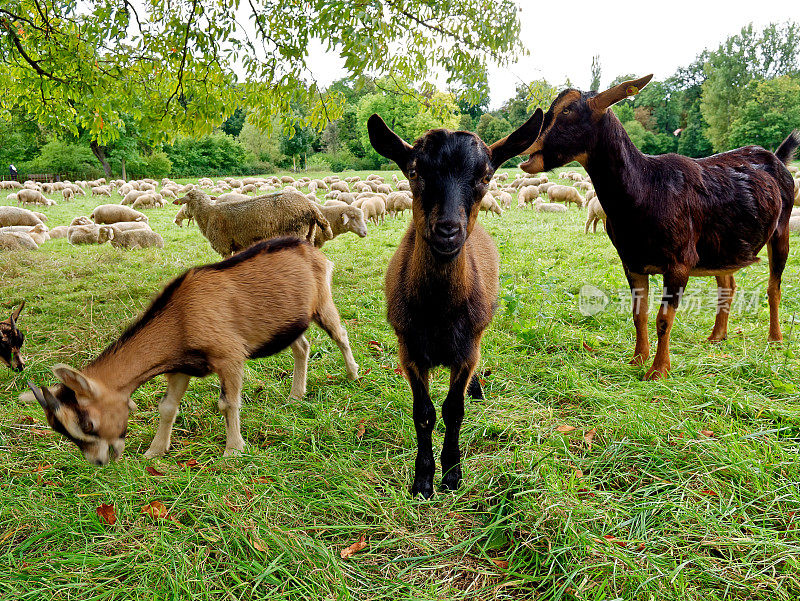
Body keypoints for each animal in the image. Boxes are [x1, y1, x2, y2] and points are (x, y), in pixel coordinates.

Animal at [26, 237, 360, 462]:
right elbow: (167, 407)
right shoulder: (181, 366)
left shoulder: (229, 355)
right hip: (287, 322)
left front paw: (233, 450)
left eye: (88, 424)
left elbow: (229, 403)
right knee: (302, 346)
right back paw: (295, 395)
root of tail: (315, 251)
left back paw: (353, 375)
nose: (99, 461)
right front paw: (154, 451)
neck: (180, 319)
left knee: (341, 334)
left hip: (322, 302)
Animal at [175, 189, 334, 256]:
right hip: (309, 233)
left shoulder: (224, 245)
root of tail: (310, 206)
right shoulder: (238, 245)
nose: (185, 213)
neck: (207, 214)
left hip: (296, 231)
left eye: (186, 202)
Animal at [368, 108, 544, 496]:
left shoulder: (466, 350)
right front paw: (422, 479)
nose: (447, 231)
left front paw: (451, 473)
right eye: (414, 171)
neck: (438, 311)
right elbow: (424, 413)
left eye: (486, 176)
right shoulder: (409, 350)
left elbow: (453, 409)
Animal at [520, 72, 796, 378]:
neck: (647, 187)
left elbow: (664, 318)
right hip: (722, 246)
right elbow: (638, 313)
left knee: (774, 287)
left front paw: (658, 370)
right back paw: (717, 336)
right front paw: (638, 358)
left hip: (780, 230)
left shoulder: (679, 263)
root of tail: (776, 158)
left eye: (568, 110)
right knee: (728, 284)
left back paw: (775, 338)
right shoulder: (632, 262)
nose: (526, 145)